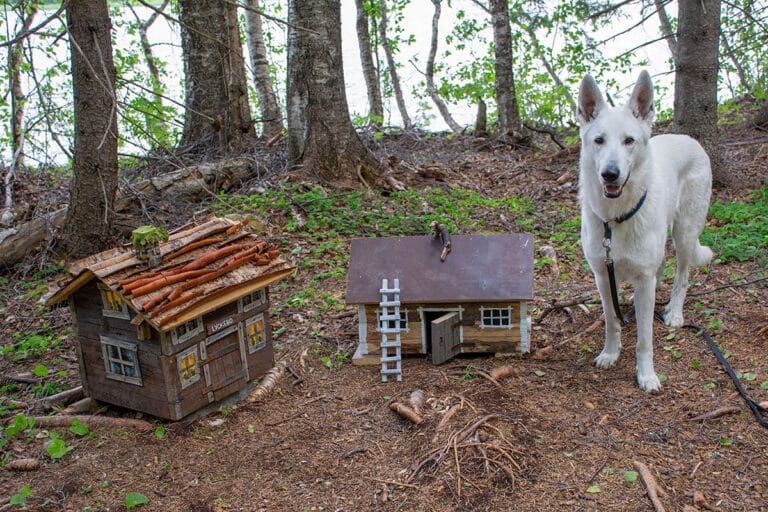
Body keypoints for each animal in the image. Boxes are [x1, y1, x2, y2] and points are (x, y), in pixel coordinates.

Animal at [576, 71, 712, 392]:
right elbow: (612, 321)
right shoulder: (603, 277)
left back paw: (674, 312)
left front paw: (646, 374)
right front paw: (610, 353)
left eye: (629, 141)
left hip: (685, 234)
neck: (616, 219)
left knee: (682, 276)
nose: (610, 174)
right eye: (598, 140)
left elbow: (645, 340)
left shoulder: (643, 280)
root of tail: (688, 138)